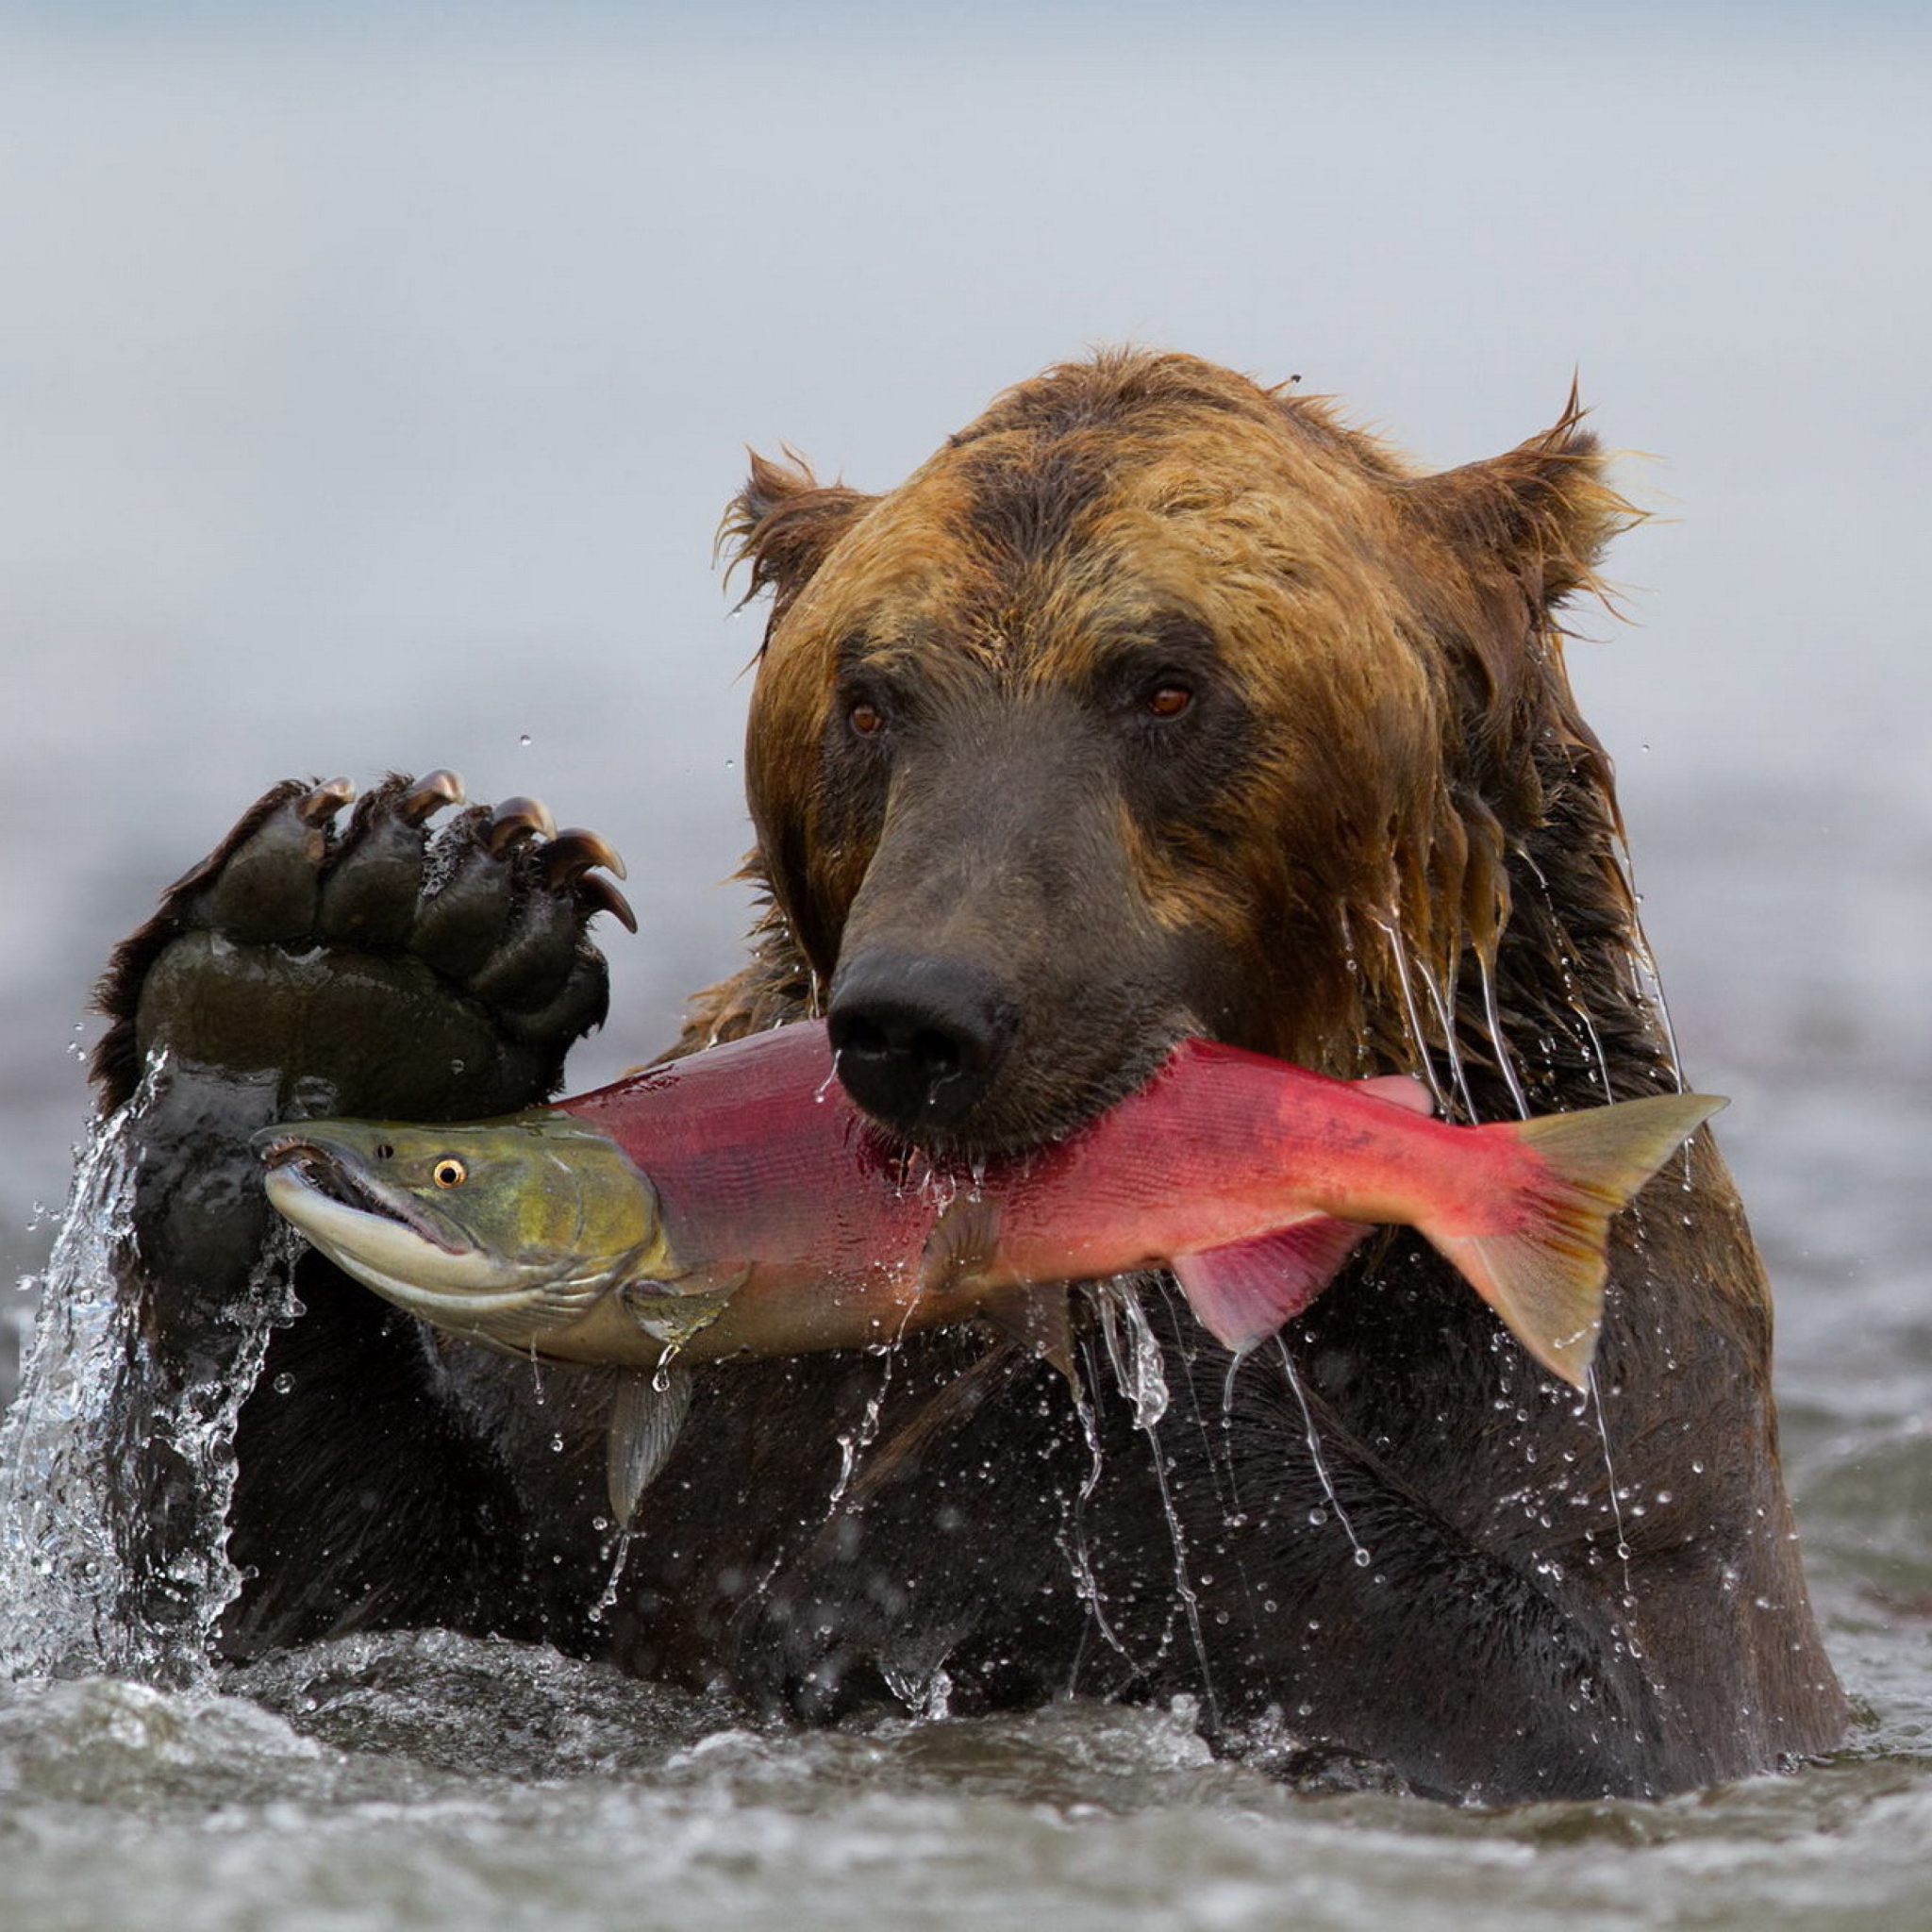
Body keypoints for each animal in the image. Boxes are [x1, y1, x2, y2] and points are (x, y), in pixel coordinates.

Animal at [87, 343, 1839, 1792]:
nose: (921, 1014)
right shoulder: (650, 1434)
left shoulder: (1600, 1398)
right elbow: (346, 1607)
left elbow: (1591, 1695)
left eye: (1166, 682)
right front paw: (346, 968)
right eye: (870, 698)